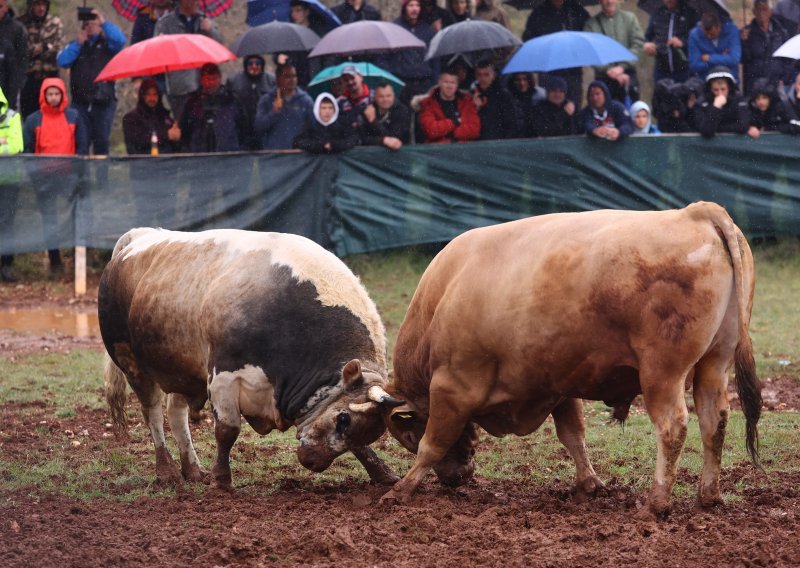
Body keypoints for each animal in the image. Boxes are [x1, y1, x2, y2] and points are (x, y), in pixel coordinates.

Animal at [100, 226, 404, 488]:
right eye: (343, 419)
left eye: (360, 427)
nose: (314, 462)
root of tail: (138, 237)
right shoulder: (222, 375)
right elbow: (227, 430)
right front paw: (221, 480)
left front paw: (382, 473)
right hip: (130, 361)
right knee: (152, 413)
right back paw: (167, 471)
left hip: (182, 370)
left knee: (176, 413)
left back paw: (192, 469)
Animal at [384, 201, 760, 516]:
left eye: (406, 435)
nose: (456, 478)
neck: (443, 295)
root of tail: (695, 212)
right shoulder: (558, 386)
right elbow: (573, 435)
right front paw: (589, 483)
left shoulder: (452, 387)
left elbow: (433, 444)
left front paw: (401, 490)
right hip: (715, 363)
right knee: (714, 420)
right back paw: (708, 496)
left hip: (662, 373)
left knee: (672, 427)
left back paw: (657, 503)